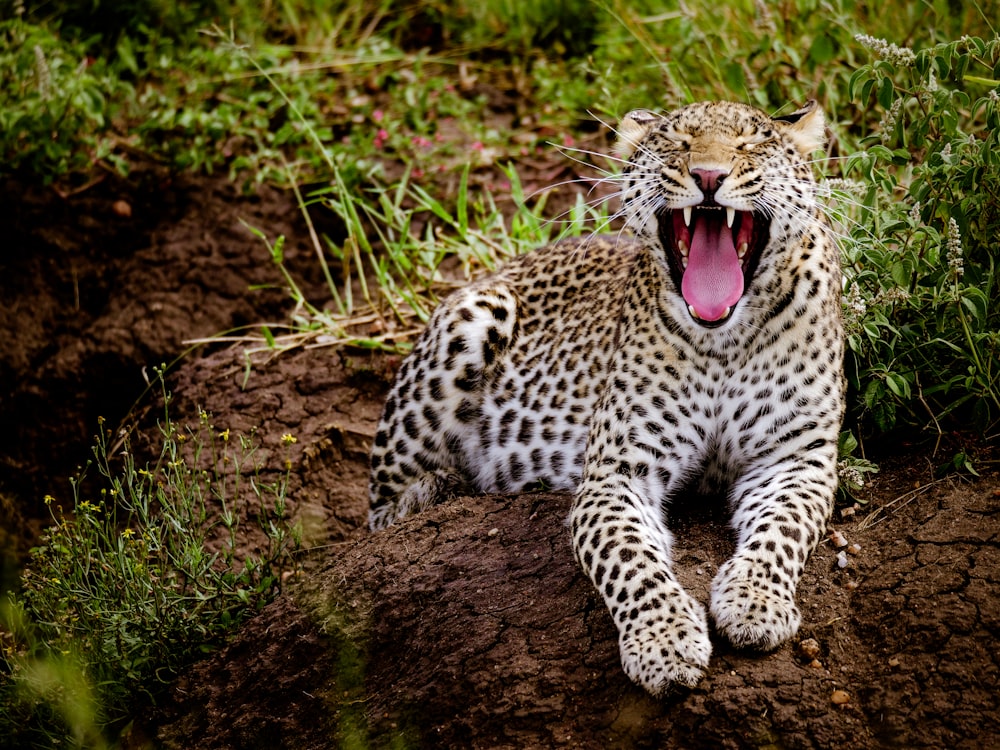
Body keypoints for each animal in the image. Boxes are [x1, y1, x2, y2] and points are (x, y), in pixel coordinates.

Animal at [366, 100, 844, 700]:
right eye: (678, 143)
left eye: (748, 145)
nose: (709, 176)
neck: (722, 341)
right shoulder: (617, 472)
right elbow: (629, 558)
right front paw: (665, 643)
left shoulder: (795, 459)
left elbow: (783, 530)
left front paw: (755, 603)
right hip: (470, 318)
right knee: (379, 516)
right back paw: (440, 490)